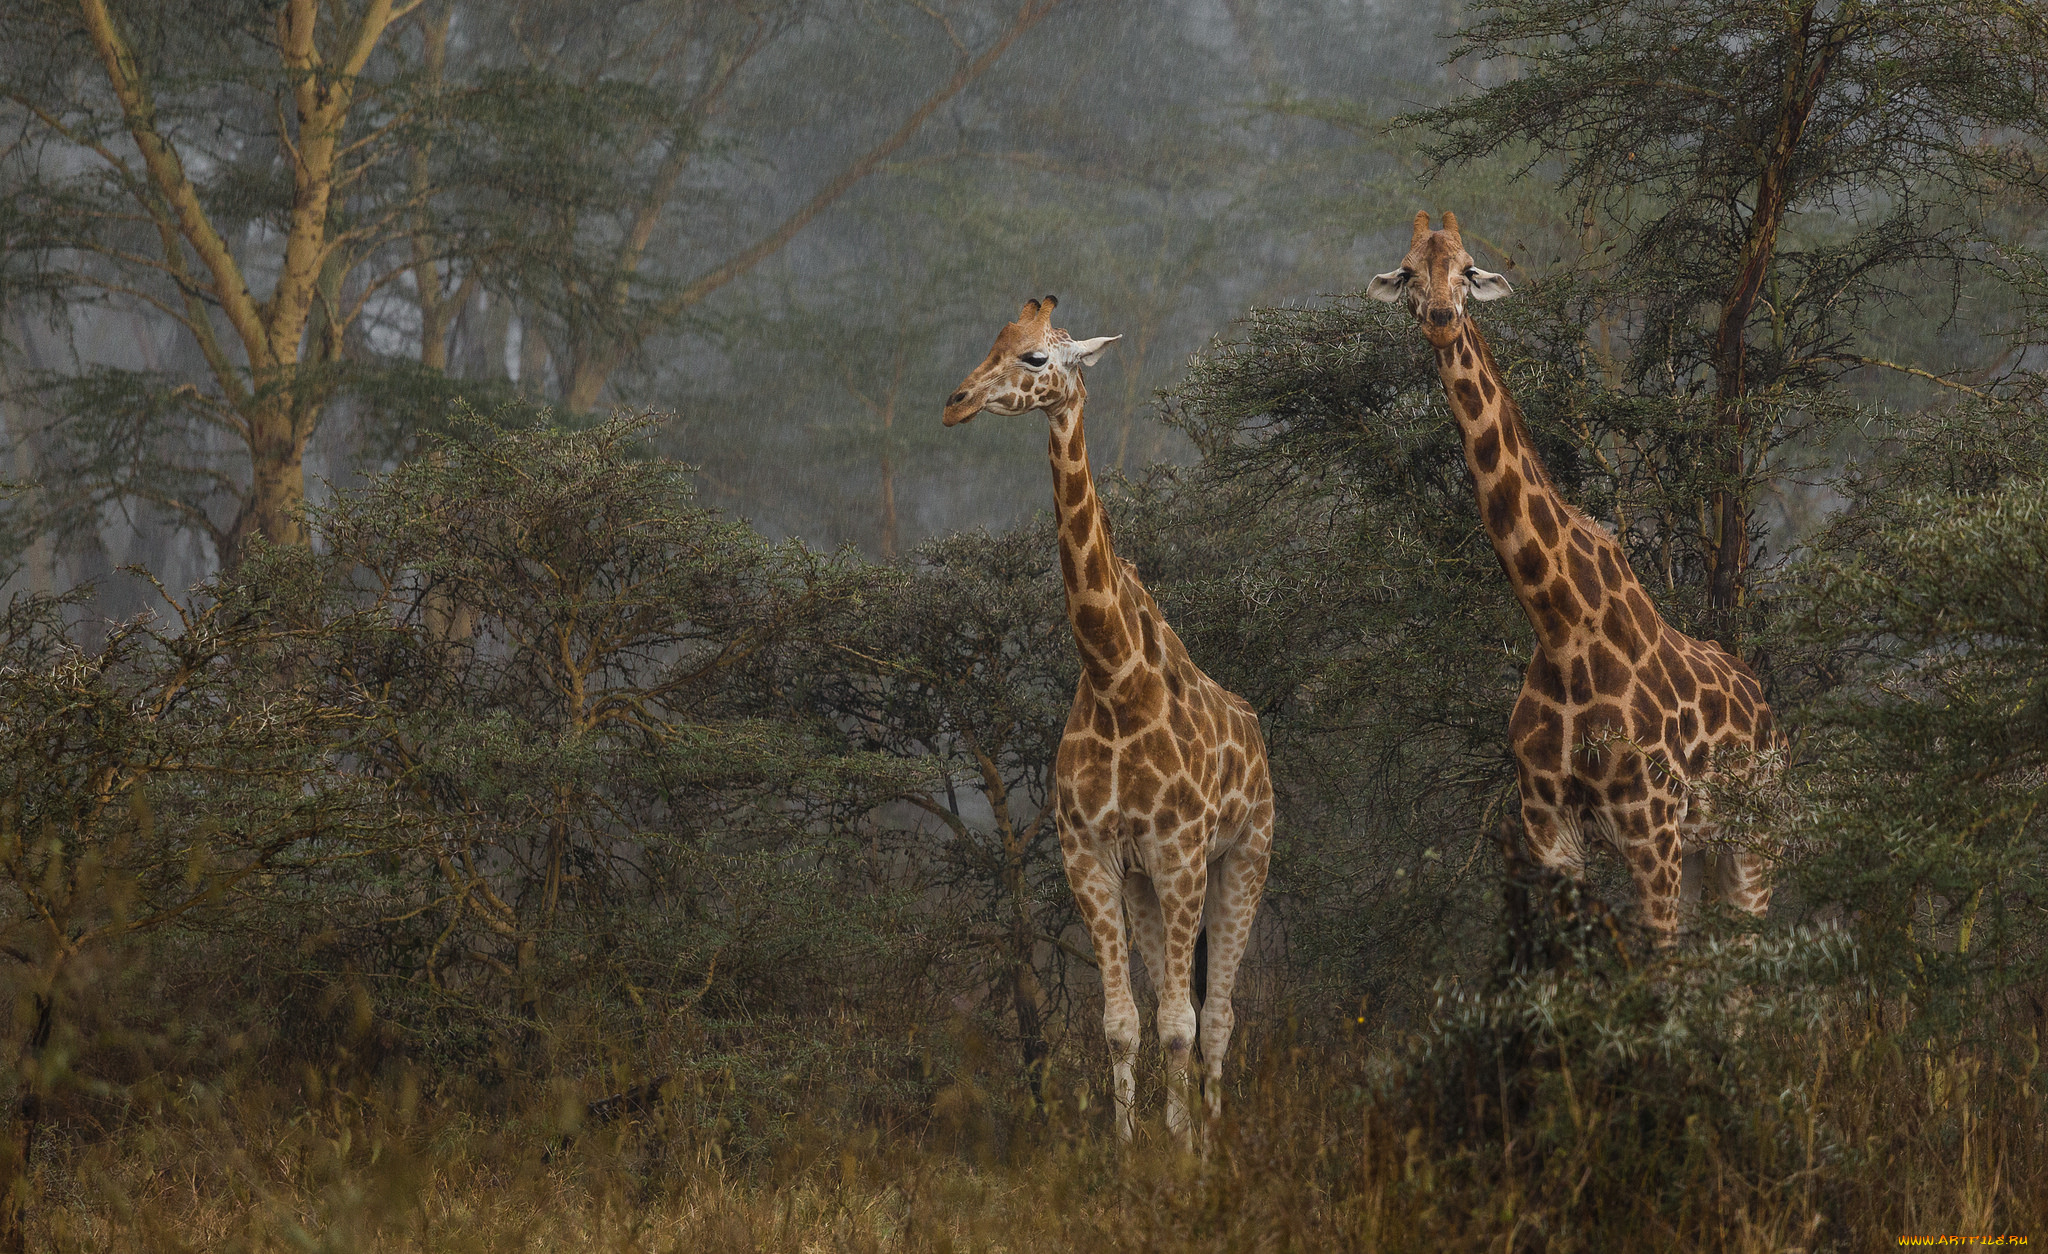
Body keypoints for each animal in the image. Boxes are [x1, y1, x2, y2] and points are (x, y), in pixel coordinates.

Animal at [946, 299, 1277, 1139]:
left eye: (1035, 358)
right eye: (993, 343)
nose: (956, 403)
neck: (1114, 675)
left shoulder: (1183, 852)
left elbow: (1182, 1024)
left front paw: (1182, 1152)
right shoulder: (1092, 856)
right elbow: (1124, 1025)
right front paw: (1130, 1153)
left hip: (1245, 857)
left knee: (1218, 1016)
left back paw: (1212, 1138)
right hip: (1148, 888)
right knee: (1180, 1009)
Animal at [1368, 213, 1785, 942]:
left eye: (1468, 269)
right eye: (1410, 271)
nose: (1443, 318)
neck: (1560, 625)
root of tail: (1775, 722)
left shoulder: (1652, 829)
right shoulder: (1550, 831)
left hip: (1752, 840)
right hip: (1704, 851)